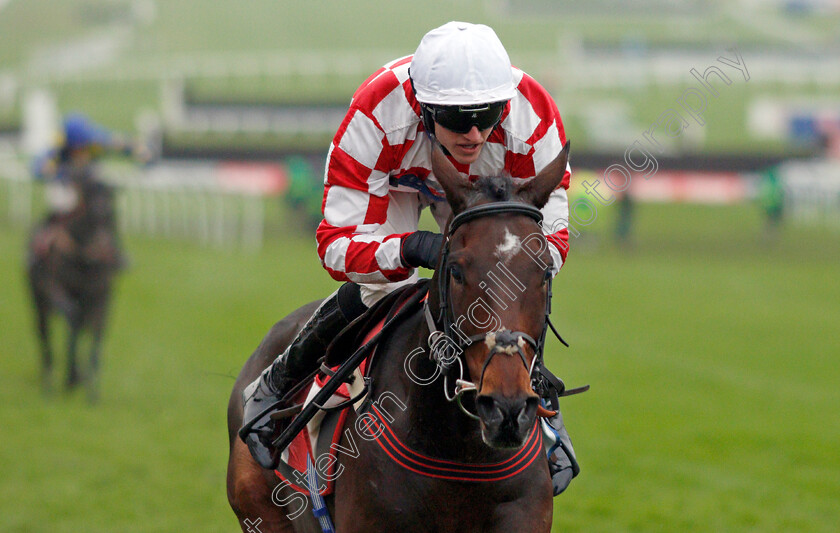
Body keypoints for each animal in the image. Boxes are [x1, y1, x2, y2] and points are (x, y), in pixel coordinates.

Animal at [26, 172, 123, 402]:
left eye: (110, 197)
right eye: (90, 194)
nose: (104, 212)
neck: (83, 258)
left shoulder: (101, 297)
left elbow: (96, 337)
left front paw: (92, 393)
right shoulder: (53, 286)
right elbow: (73, 316)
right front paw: (72, 377)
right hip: (39, 303)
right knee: (45, 338)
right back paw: (49, 383)